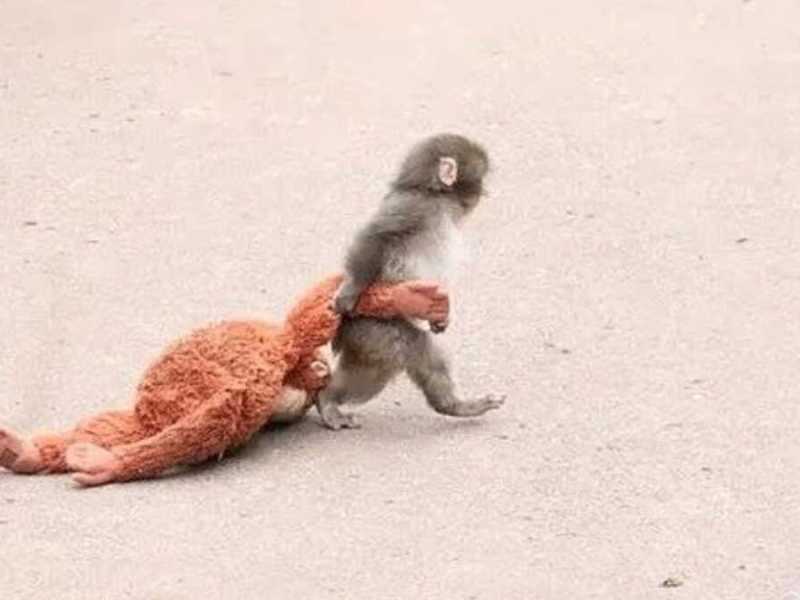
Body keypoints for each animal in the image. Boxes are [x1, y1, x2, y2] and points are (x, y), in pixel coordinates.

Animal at [315, 133, 505, 430]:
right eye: (480, 178)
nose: (484, 193)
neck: (434, 195)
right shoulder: (414, 207)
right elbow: (377, 236)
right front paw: (350, 290)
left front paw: (441, 318)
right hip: (373, 328)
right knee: (404, 353)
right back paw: (327, 401)